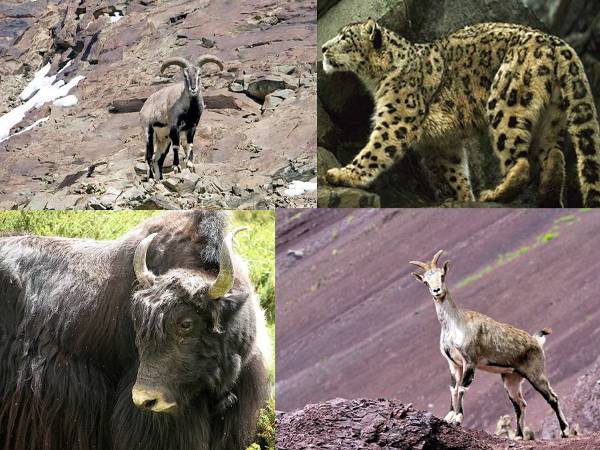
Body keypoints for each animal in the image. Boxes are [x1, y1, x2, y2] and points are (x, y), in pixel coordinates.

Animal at [410, 250, 568, 440]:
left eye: (442, 275)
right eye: (425, 281)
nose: (436, 291)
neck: (456, 324)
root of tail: (536, 341)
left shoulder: (470, 361)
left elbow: (462, 388)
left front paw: (458, 419)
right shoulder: (453, 364)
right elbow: (453, 388)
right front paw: (448, 416)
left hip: (536, 373)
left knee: (552, 398)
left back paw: (564, 431)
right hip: (511, 378)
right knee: (519, 404)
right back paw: (518, 436)